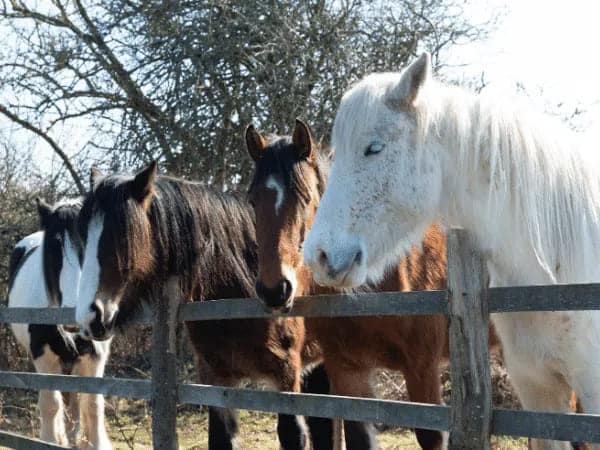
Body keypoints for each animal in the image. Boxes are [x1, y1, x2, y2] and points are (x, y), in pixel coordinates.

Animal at [9, 199, 112, 448]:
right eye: (54, 249)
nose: (75, 314)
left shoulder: (96, 355)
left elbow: (92, 404)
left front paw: (94, 443)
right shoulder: (42, 355)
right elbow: (51, 404)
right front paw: (50, 440)